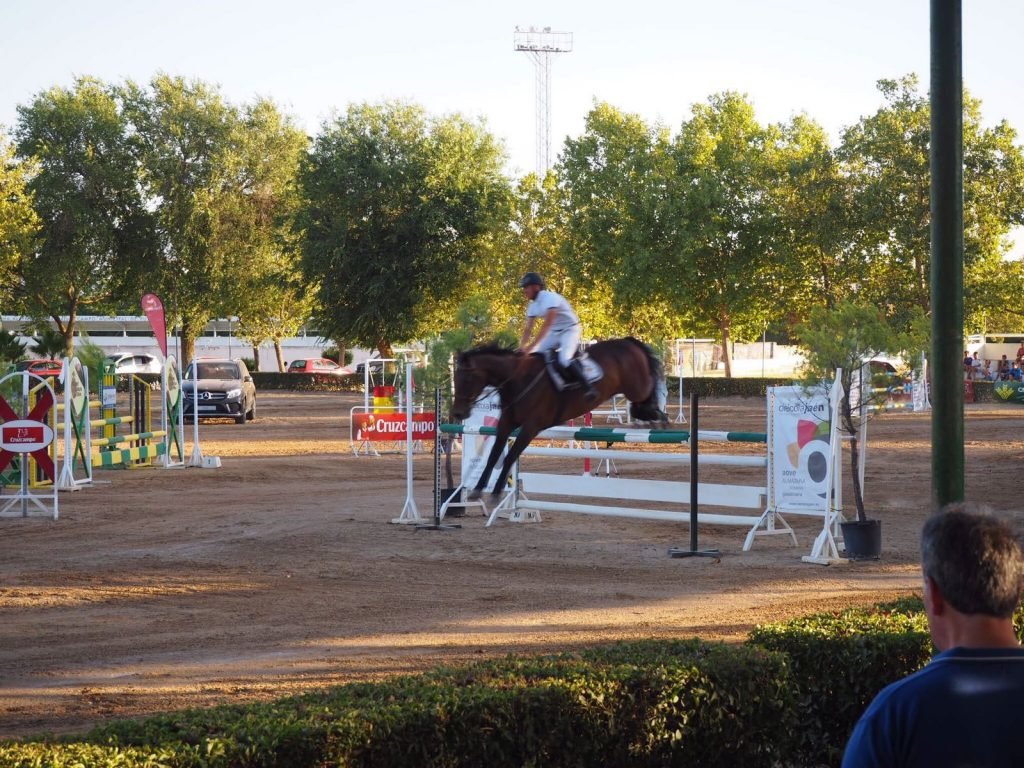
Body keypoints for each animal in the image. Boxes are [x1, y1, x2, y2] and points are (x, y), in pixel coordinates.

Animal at [452, 339, 667, 501]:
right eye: (455, 379)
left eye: (467, 379)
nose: (458, 413)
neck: (517, 380)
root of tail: (628, 342)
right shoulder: (506, 423)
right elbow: (493, 455)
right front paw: (478, 489)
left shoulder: (531, 427)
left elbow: (510, 456)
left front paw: (496, 492)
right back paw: (649, 414)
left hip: (636, 387)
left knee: (651, 384)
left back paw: (656, 415)